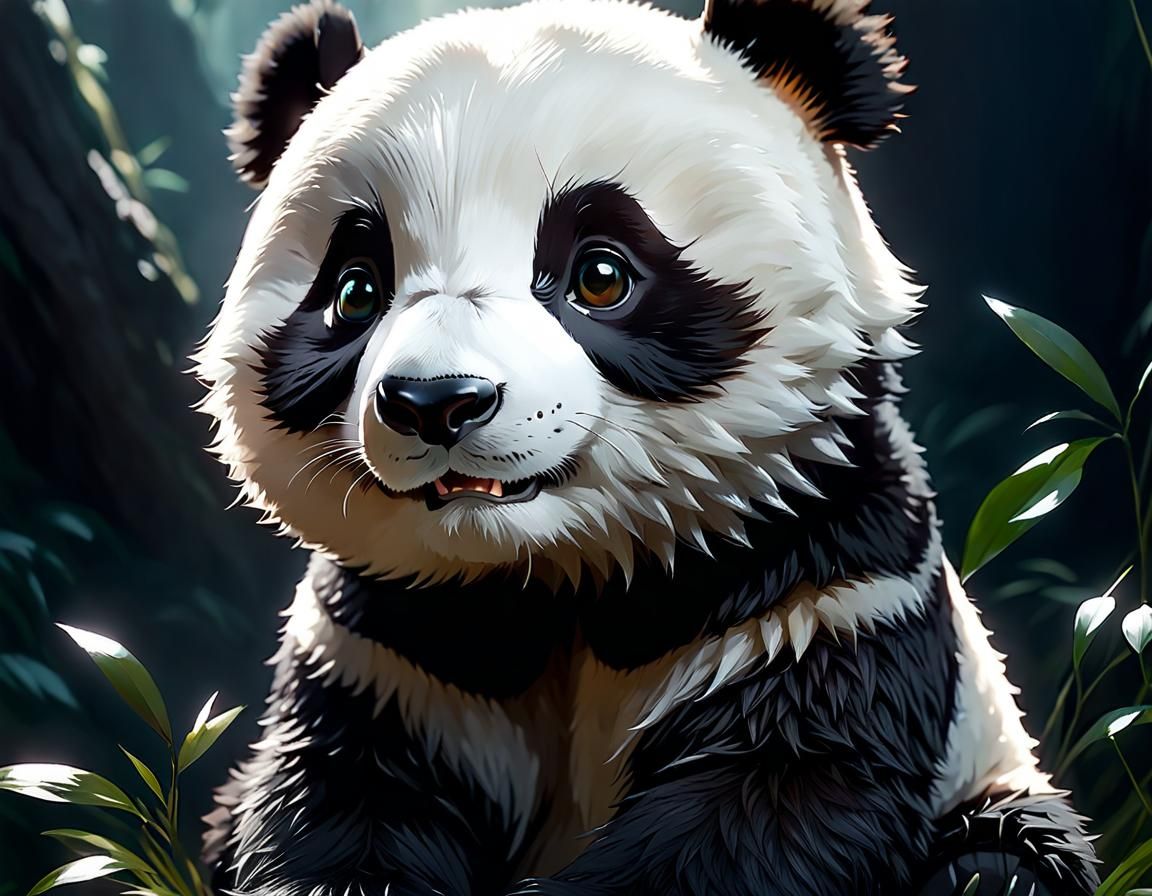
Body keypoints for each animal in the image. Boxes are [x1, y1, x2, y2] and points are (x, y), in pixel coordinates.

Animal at [195, 0, 1100, 893]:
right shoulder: (392, 650)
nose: (436, 402)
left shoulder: (826, 589)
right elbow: (340, 802)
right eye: (356, 291)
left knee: (1006, 862)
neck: (559, 577)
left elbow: (764, 806)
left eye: (601, 275)